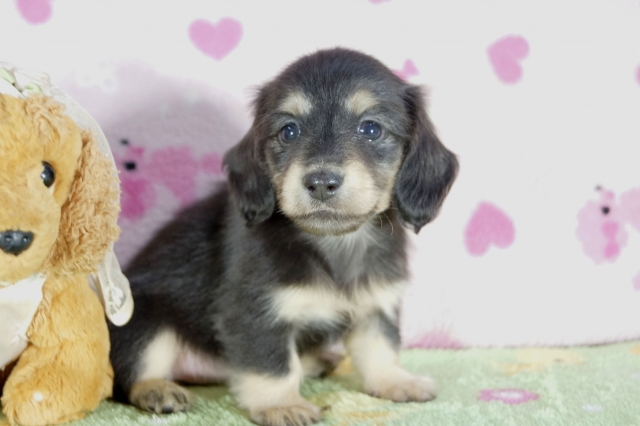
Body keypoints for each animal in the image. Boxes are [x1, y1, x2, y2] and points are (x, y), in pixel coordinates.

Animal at [108, 48, 458, 426]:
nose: (321, 182)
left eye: (371, 128)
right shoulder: (255, 310)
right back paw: (157, 390)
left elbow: (381, 347)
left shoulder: (376, 301)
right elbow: (273, 364)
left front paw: (396, 381)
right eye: (289, 130)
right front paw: (282, 405)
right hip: (147, 321)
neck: (334, 245)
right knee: (131, 373)